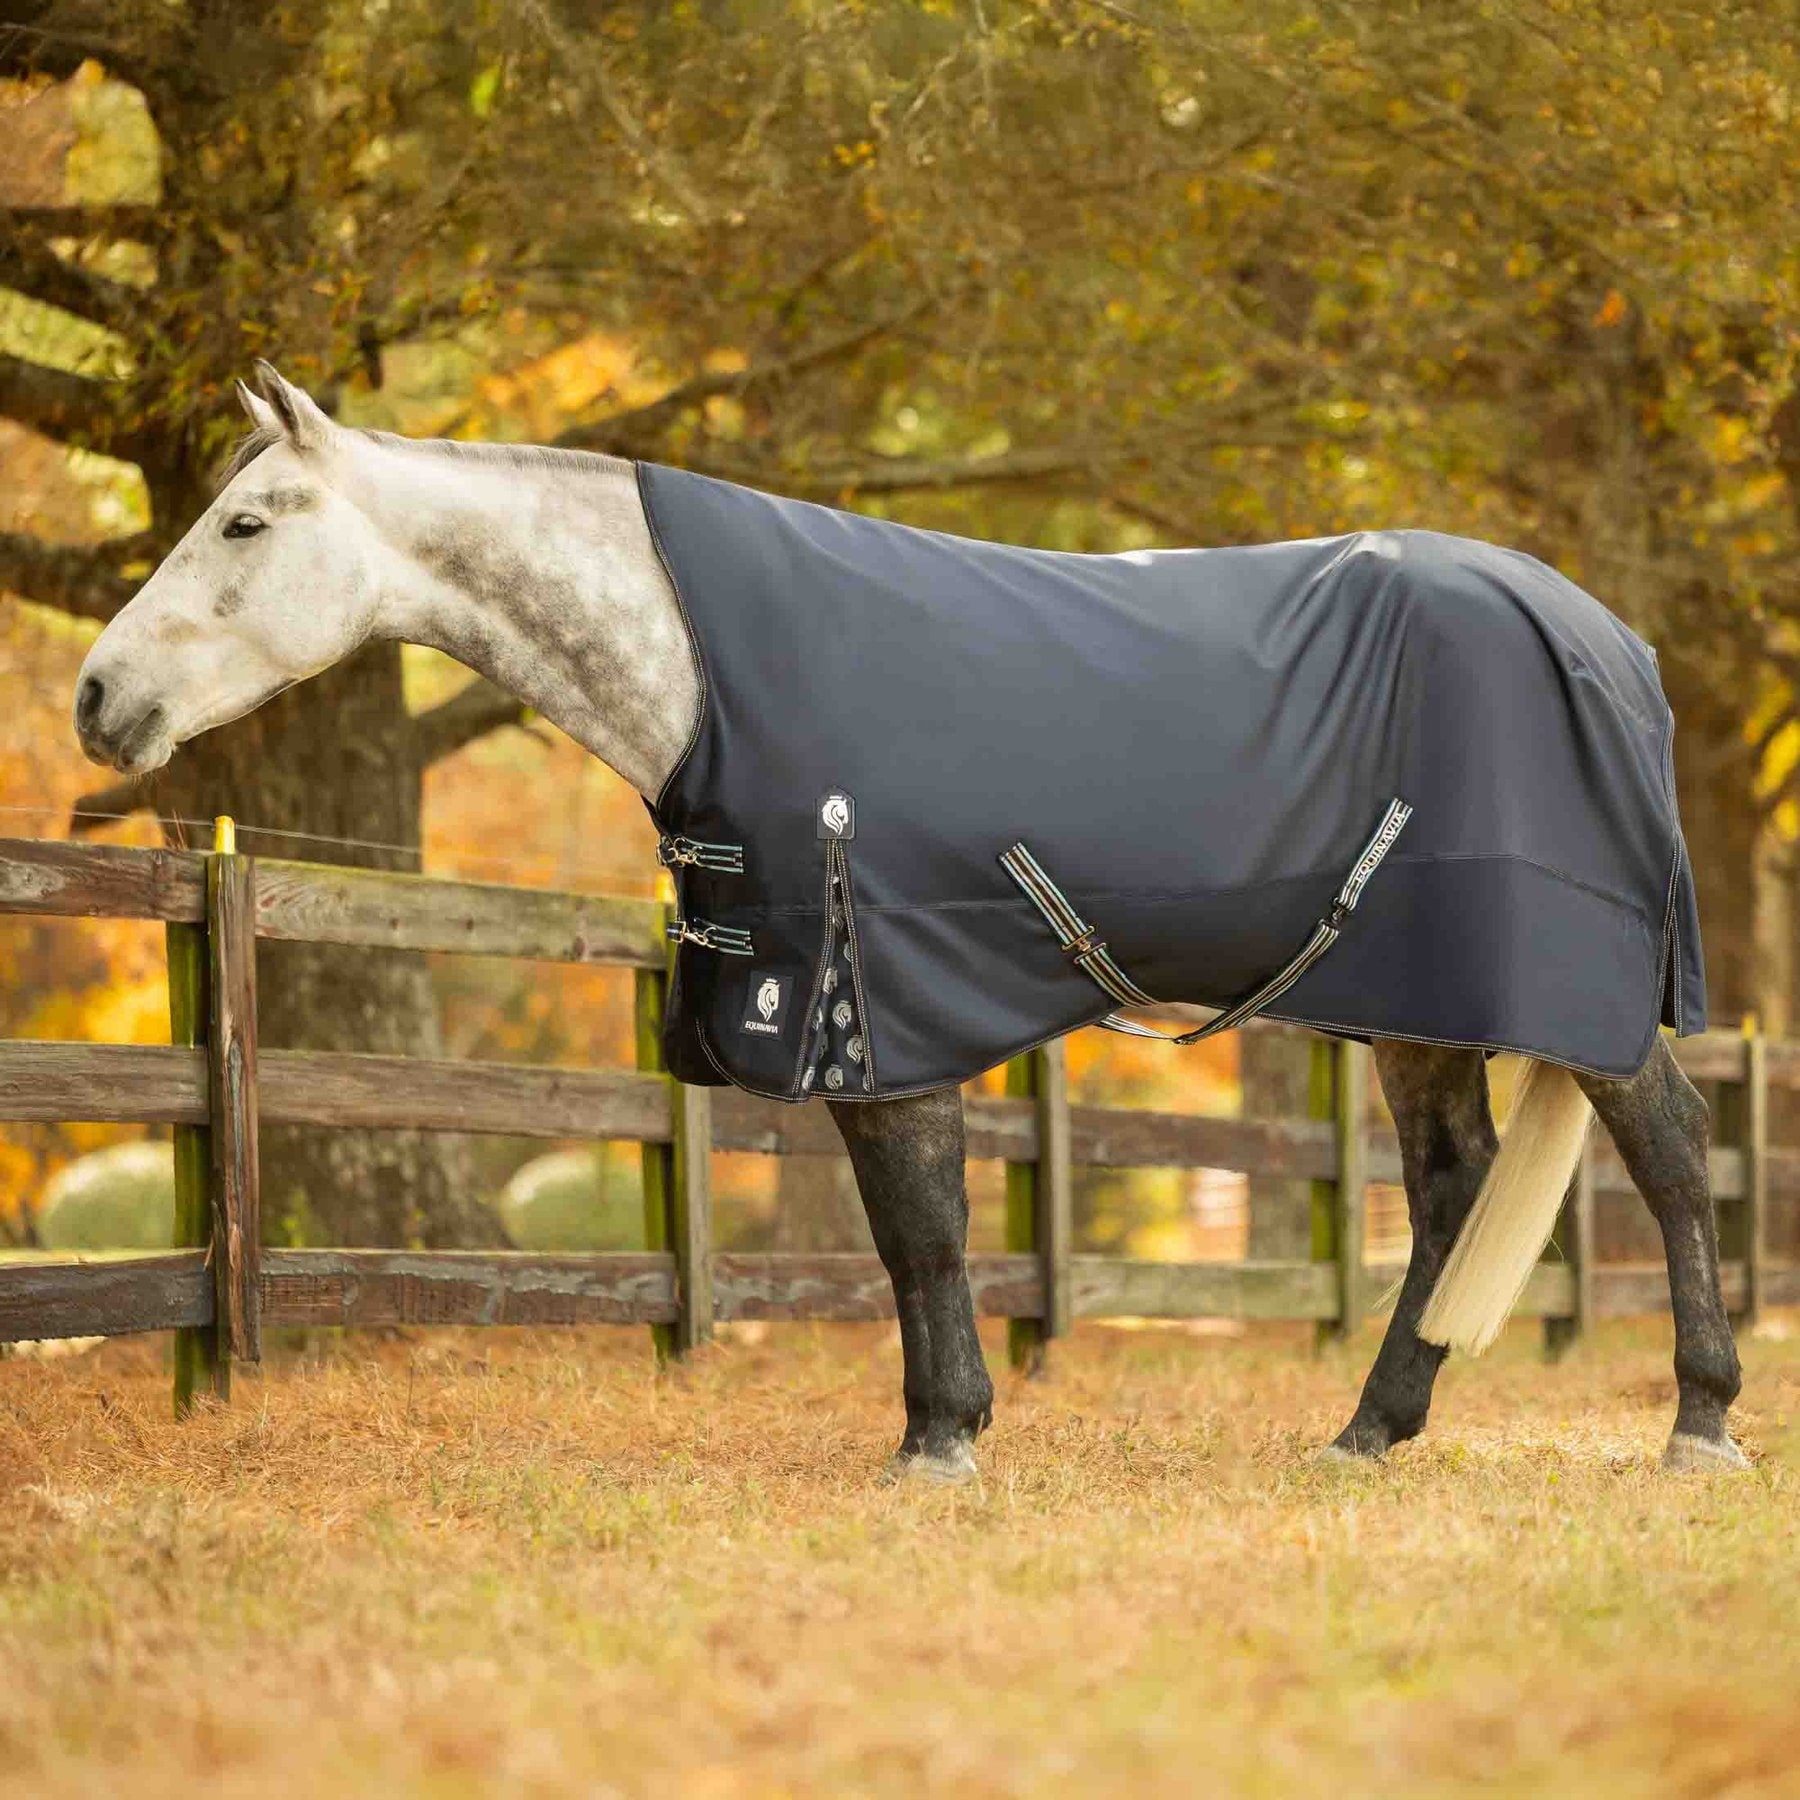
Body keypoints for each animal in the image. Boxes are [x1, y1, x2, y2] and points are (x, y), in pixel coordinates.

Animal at [71, 365, 1746, 1481]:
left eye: (244, 522)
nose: (95, 698)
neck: (709, 662)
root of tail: (1611, 644)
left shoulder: (874, 982)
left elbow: (926, 1228)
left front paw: (941, 1444)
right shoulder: (864, 999)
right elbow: (905, 1231)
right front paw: (945, 1427)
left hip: (1570, 994)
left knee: (1668, 1153)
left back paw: (1703, 1418)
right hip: (1405, 998)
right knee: (1455, 1188)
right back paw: (1369, 1432)